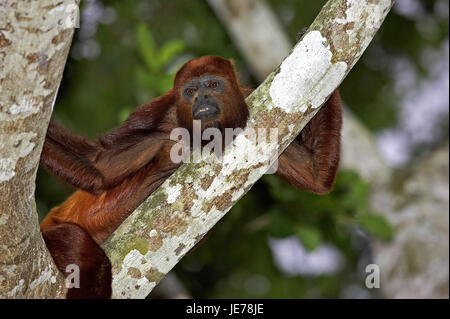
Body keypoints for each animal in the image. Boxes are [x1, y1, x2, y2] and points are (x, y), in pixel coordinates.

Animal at [39, 55, 342, 300]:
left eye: (213, 85)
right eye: (191, 90)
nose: (202, 99)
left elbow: (312, 174)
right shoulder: (158, 112)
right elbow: (100, 165)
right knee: (81, 248)